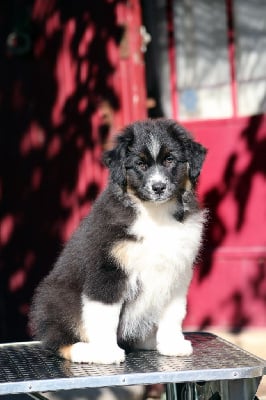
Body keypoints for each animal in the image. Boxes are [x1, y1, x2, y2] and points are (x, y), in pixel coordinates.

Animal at [29, 117, 208, 364]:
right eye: (140, 164)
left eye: (170, 159)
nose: (158, 187)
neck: (155, 213)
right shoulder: (108, 270)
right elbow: (106, 315)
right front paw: (107, 351)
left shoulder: (177, 272)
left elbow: (174, 313)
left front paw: (172, 344)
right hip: (56, 297)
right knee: (57, 338)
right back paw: (85, 350)